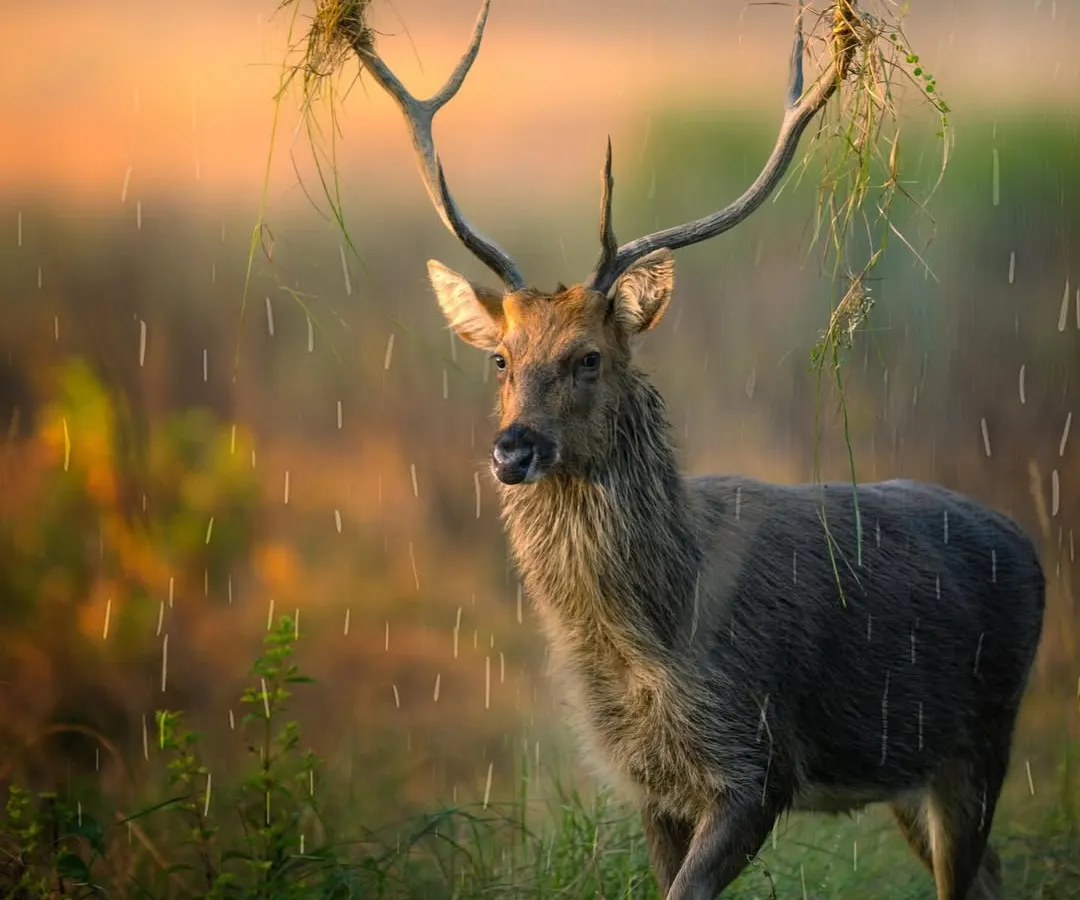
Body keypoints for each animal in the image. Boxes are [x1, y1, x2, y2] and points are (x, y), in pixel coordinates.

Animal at [342, 1, 1047, 897]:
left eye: (589, 357)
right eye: (500, 358)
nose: (513, 448)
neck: (655, 639)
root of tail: (1028, 543)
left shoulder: (757, 758)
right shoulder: (646, 781)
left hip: (981, 736)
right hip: (912, 771)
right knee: (988, 871)